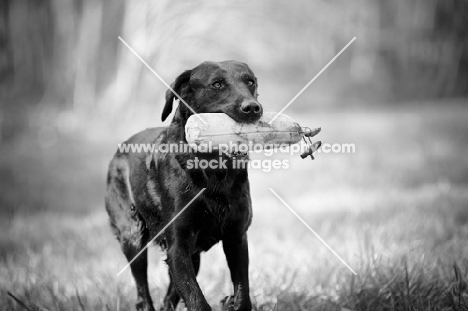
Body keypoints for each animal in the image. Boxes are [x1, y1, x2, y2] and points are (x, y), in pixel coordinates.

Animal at [104, 61, 262, 311]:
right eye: (217, 84)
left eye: (250, 81)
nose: (253, 108)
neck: (212, 171)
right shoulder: (177, 247)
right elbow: (196, 300)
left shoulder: (236, 237)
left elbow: (242, 294)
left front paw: (232, 302)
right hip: (132, 235)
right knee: (142, 292)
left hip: (193, 255)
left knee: (169, 297)